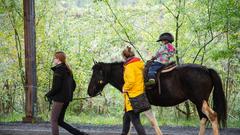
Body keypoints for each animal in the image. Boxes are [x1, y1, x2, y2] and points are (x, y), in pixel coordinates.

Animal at [87, 62, 227, 135]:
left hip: (199, 101)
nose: (89, 91)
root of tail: (206, 69)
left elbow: (148, 122)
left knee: (213, 116)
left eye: (96, 74)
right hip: (200, 102)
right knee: (204, 119)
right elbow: (144, 122)